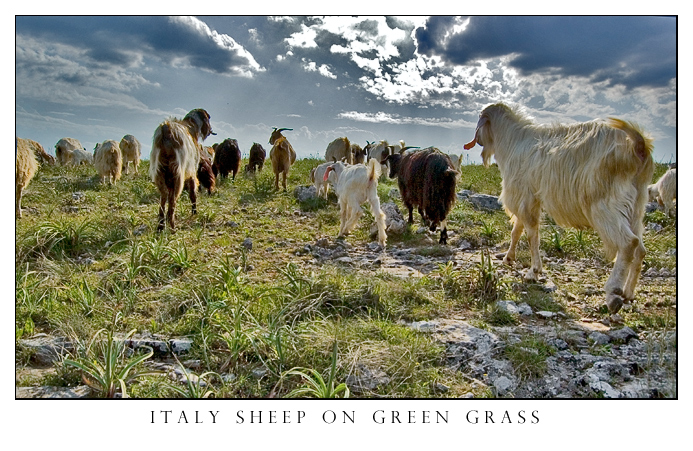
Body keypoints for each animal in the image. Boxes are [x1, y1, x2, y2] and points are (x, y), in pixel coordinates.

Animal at [463, 102, 654, 314]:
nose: (478, 140)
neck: (512, 140)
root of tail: (638, 146)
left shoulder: (524, 195)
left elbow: (531, 234)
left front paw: (534, 271)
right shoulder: (525, 196)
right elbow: (517, 230)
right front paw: (509, 258)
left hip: (604, 204)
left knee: (629, 243)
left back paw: (613, 294)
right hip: (636, 205)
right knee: (640, 249)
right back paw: (628, 293)